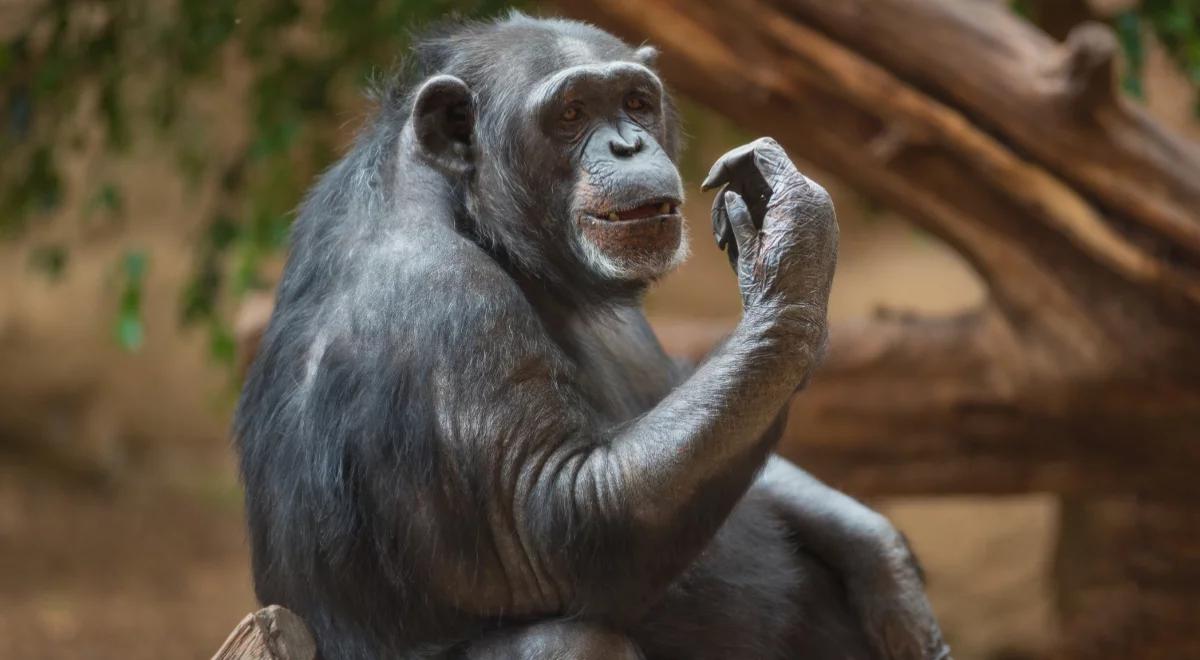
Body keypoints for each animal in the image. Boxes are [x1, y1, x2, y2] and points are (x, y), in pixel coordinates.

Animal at [234, 11, 945, 660]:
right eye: (572, 113)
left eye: (635, 102)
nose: (628, 146)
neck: (471, 212)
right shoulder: (437, 300)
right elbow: (553, 517)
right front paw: (793, 242)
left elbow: (722, 412)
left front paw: (876, 550)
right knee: (569, 639)